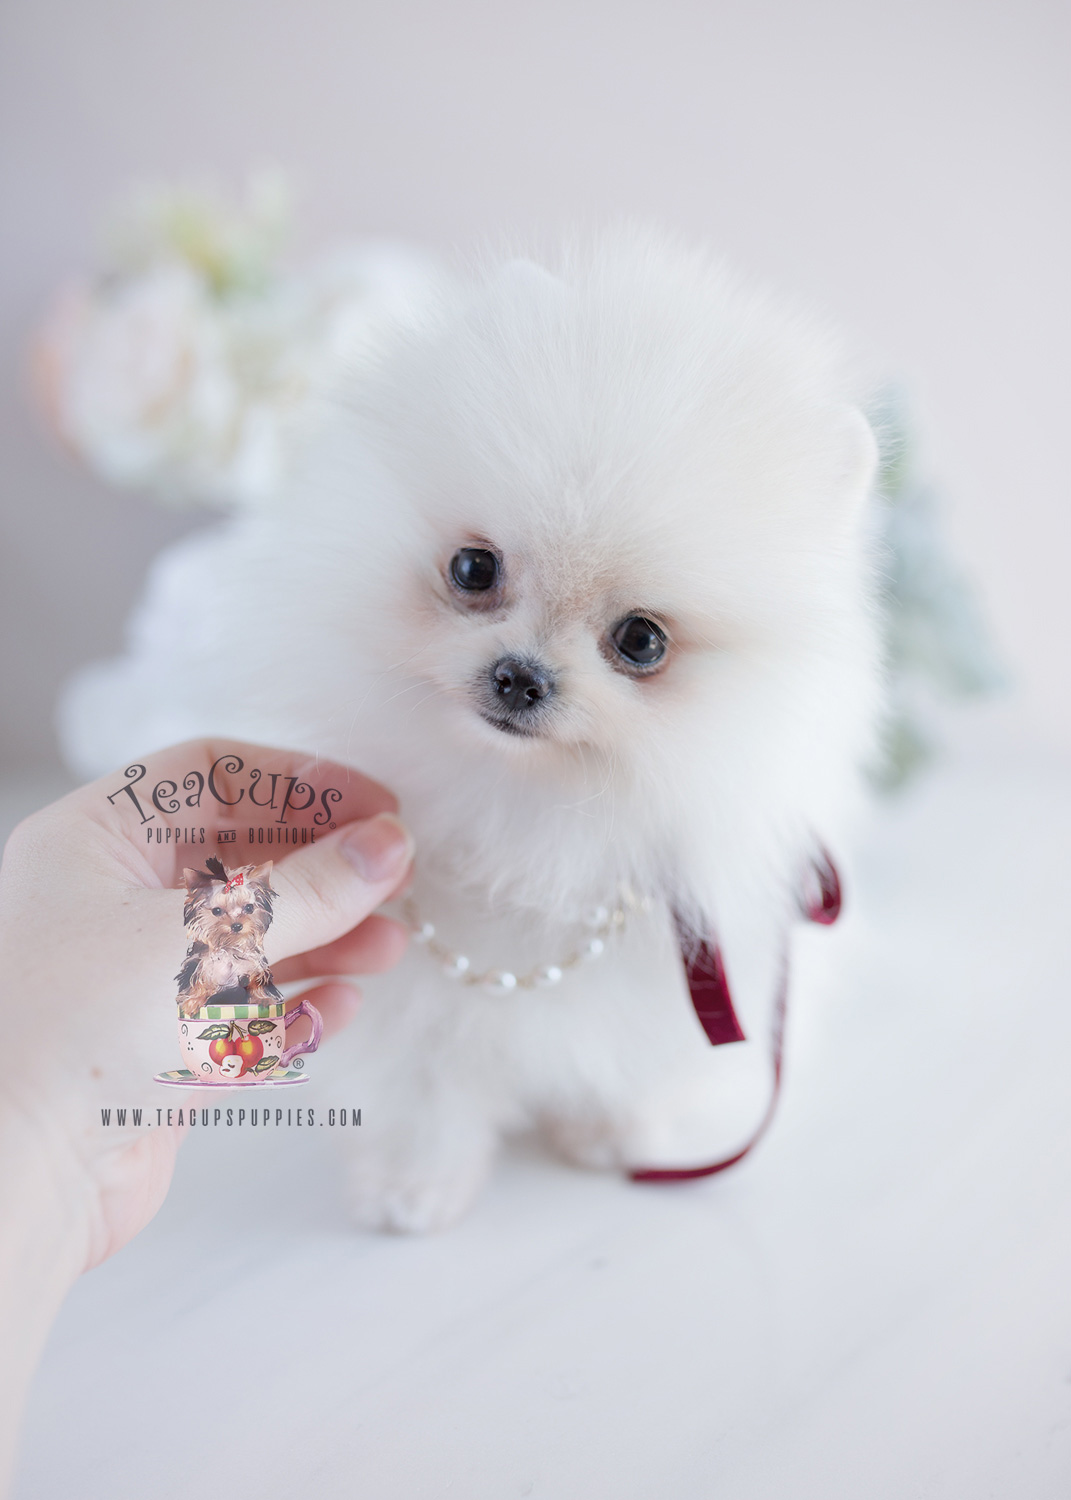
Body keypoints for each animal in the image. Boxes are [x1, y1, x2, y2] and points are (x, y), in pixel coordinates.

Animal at [64, 231, 876, 1230]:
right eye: (472, 568)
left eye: (641, 640)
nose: (519, 675)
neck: (525, 811)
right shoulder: (414, 1003)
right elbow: (427, 1093)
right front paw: (414, 1188)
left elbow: (619, 1067)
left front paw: (608, 1135)